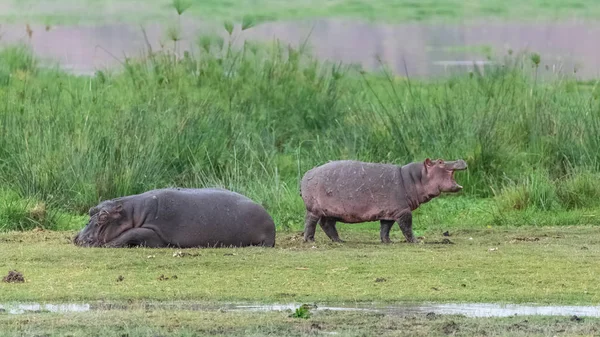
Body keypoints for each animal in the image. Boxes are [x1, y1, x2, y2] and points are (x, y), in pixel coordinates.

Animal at [73, 186, 276, 247]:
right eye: (91, 210)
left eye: (103, 216)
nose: (78, 237)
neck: (132, 212)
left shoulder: (156, 231)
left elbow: (131, 233)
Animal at [300, 158, 468, 242]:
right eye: (440, 161)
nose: (461, 159)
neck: (415, 178)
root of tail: (306, 173)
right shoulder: (403, 211)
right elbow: (407, 227)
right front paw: (416, 241)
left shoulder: (390, 211)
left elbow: (385, 228)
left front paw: (387, 241)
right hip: (314, 209)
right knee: (310, 222)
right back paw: (310, 240)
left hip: (331, 211)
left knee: (327, 224)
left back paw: (339, 241)